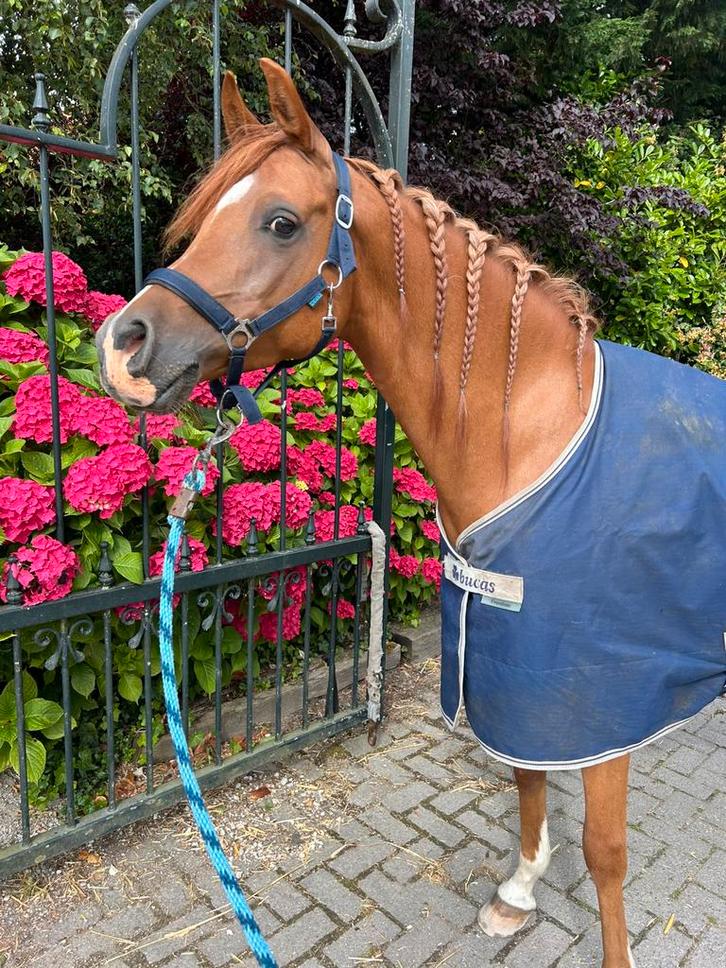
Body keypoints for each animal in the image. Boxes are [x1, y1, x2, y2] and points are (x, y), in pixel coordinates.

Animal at [96, 59, 726, 968]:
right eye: (203, 214)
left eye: (280, 222)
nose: (122, 346)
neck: (528, 436)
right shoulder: (508, 666)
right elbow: (525, 776)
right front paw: (519, 893)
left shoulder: (599, 697)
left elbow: (606, 851)